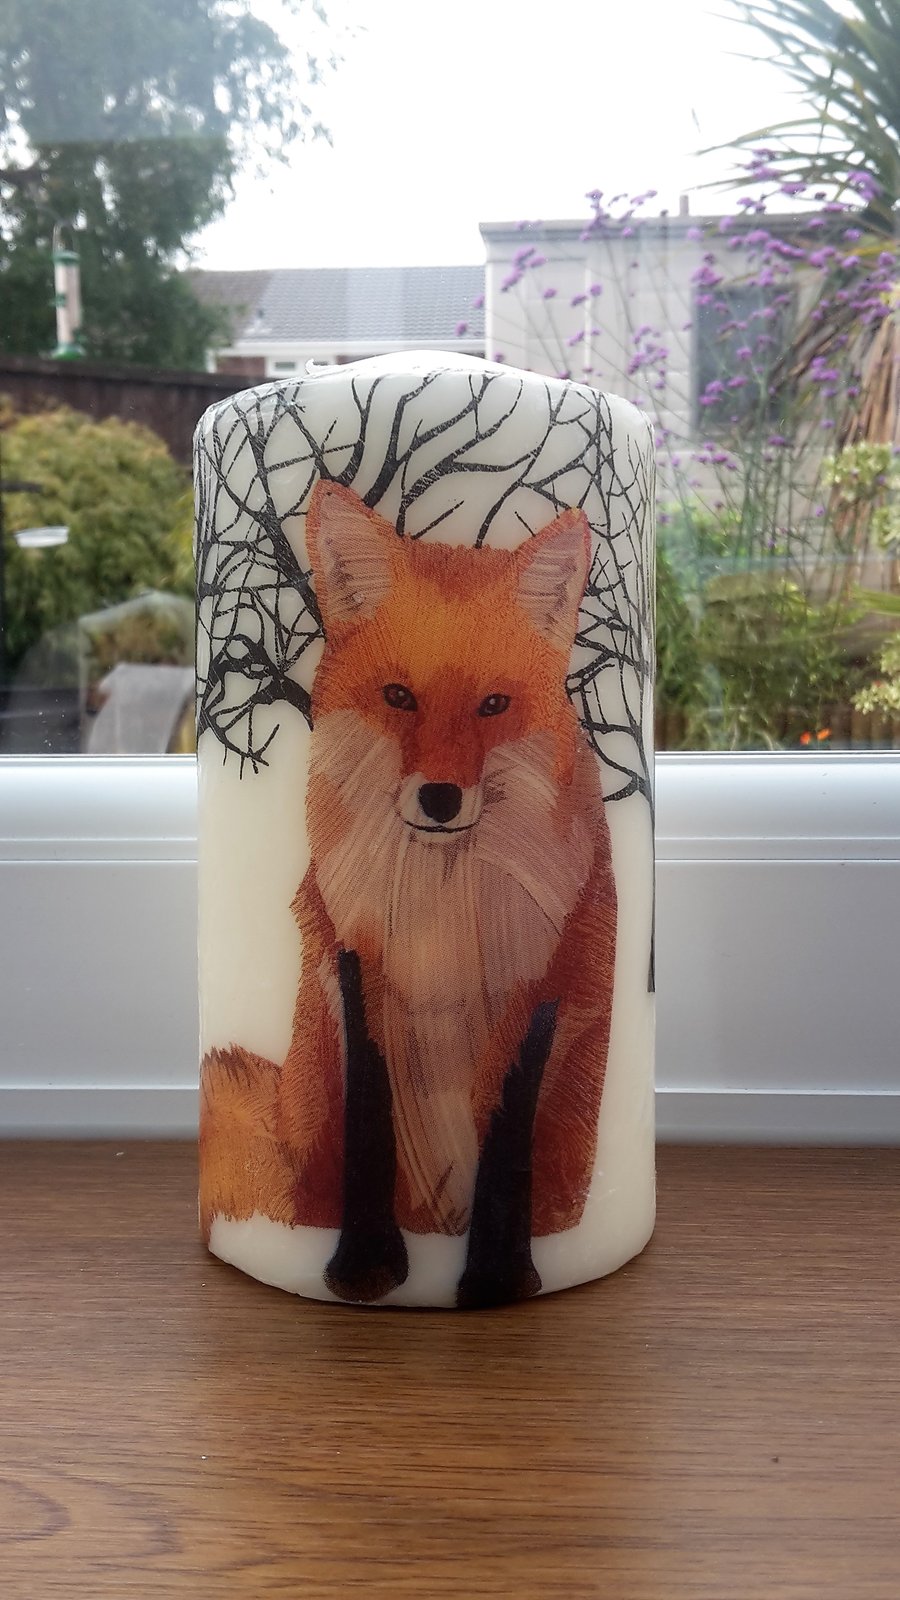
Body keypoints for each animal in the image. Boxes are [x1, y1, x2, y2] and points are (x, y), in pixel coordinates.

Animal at [200, 479, 617, 1307]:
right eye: (399, 697)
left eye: (493, 706)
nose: (440, 798)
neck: (440, 910)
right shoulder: (354, 963)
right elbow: (371, 1119)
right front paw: (364, 1270)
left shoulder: (546, 985)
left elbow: (506, 1142)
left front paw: (496, 1280)